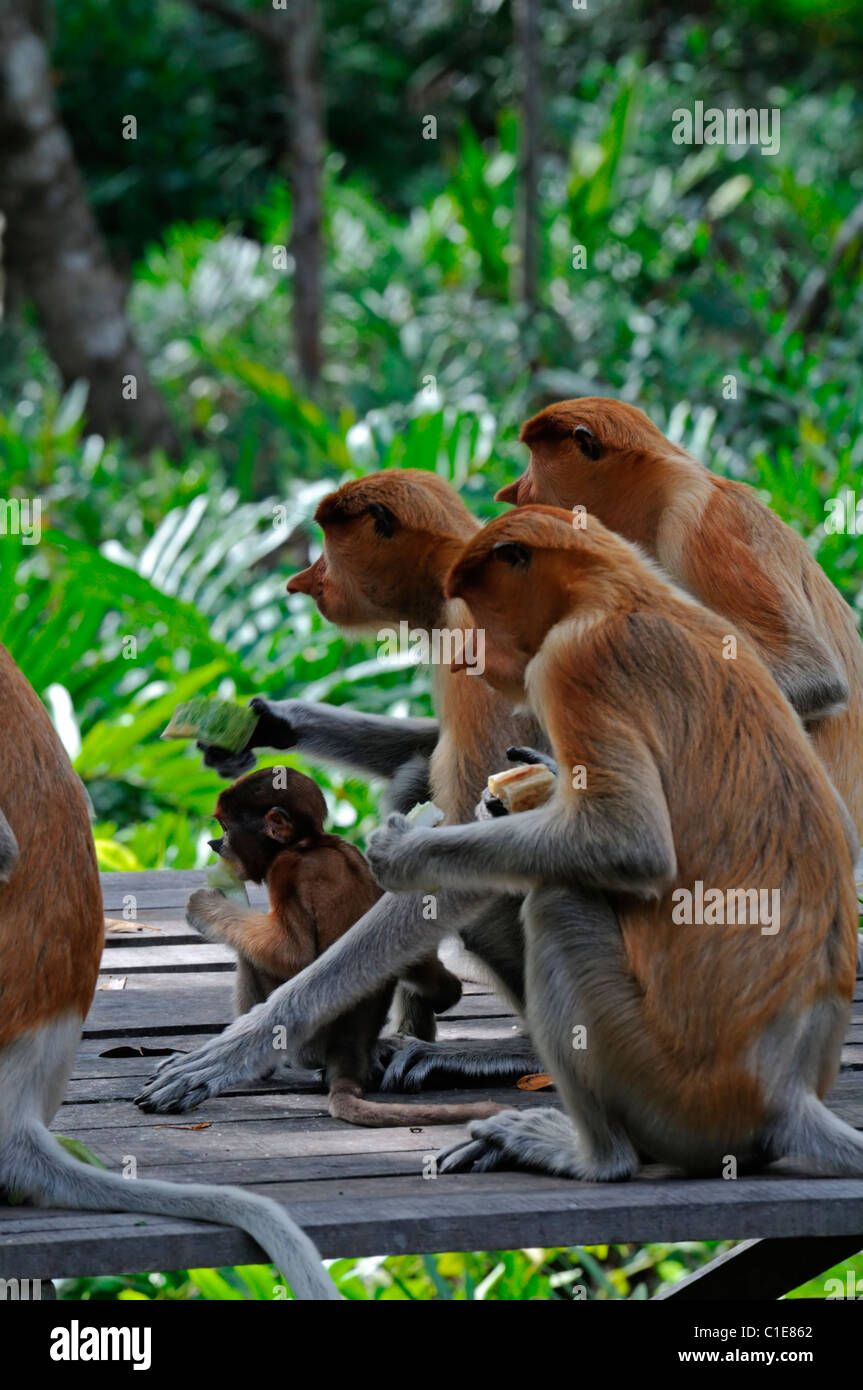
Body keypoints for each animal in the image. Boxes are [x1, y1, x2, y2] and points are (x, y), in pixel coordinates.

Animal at [189, 767, 502, 1127]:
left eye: (227, 829)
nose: (215, 844)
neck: (311, 843)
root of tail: (349, 1049)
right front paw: (444, 992)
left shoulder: (285, 871)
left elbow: (293, 954)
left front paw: (202, 906)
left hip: (308, 1047)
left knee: (252, 959)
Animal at [362, 505, 863, 1181]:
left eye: (477, 606)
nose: (470, 659)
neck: (618, 589)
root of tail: (785, 1094)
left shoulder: (572, 660)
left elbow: (630, 843)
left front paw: (401, 853)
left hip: (665, 1086)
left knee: (558, 902)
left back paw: (588, 1156)